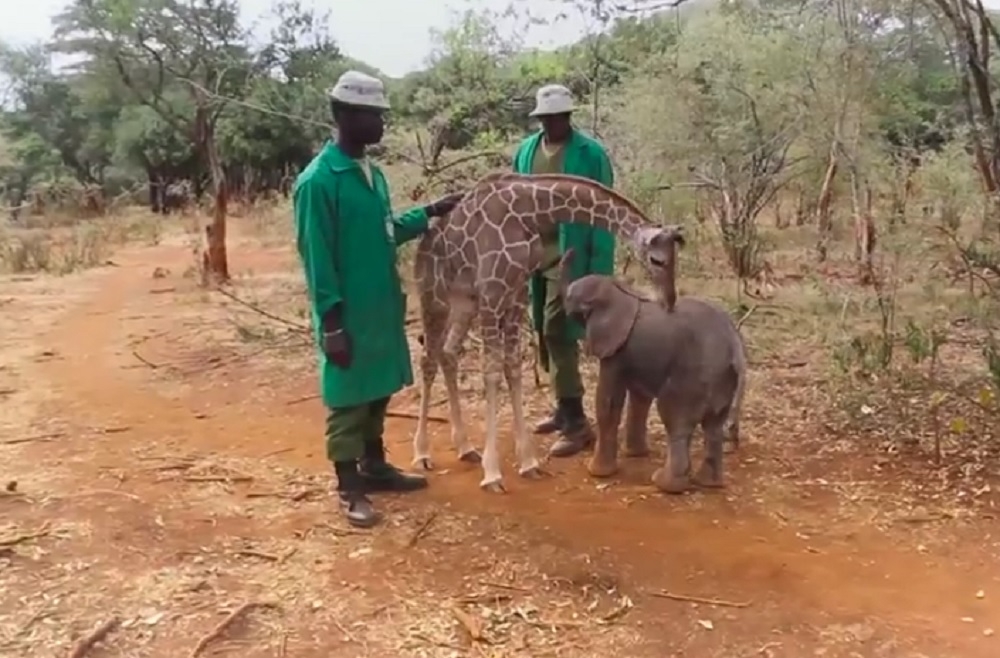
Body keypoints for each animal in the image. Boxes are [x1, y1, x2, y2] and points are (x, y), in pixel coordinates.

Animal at [557, 239, 747, 494]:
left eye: (572, 303)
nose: (572, 250)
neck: (619, 292)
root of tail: (735, 343)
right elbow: (639, 398)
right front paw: (635, 454)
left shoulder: (615, 349)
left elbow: (608, 401)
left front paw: (596, 473)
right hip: (723, 377)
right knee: (713, 427)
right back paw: (708, 483)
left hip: (696, 375)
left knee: (675, 419)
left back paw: (665, 484)